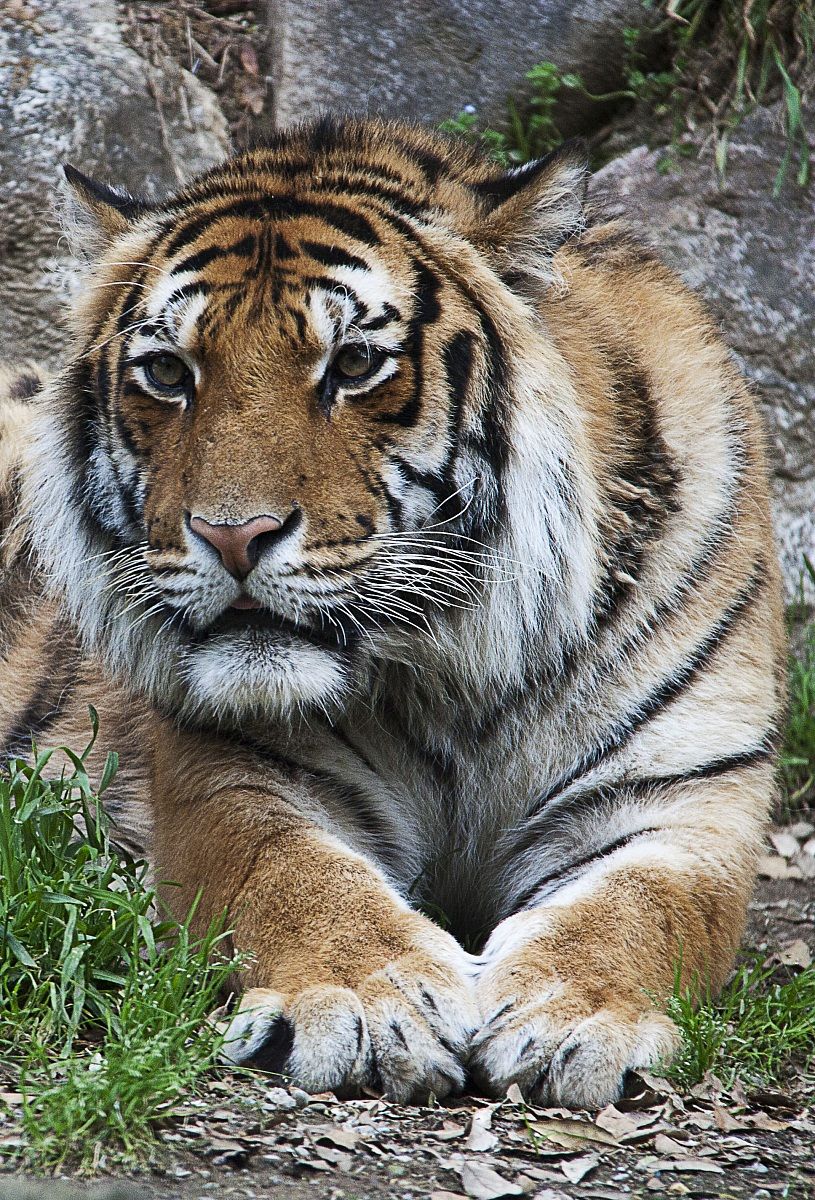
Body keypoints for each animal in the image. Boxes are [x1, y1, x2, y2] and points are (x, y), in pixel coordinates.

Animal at [0, 116, 784, 1108]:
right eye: (169, 373)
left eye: (355, 364)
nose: (232, 535)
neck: (457, 668)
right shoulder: (233, 773)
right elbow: (295, 878)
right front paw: (368, 999)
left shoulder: (682, 801)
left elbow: (643, 910)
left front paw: (569, 1013)